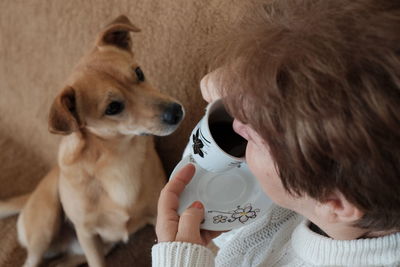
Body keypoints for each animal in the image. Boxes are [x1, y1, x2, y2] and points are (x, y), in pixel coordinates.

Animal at [0, 15, 184, 267]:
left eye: (139, 73)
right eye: (113, 108)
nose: (176, 112)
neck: (119, 155)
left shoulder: (159, 215)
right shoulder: (88, 235)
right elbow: (97, 262)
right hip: (46, 221)